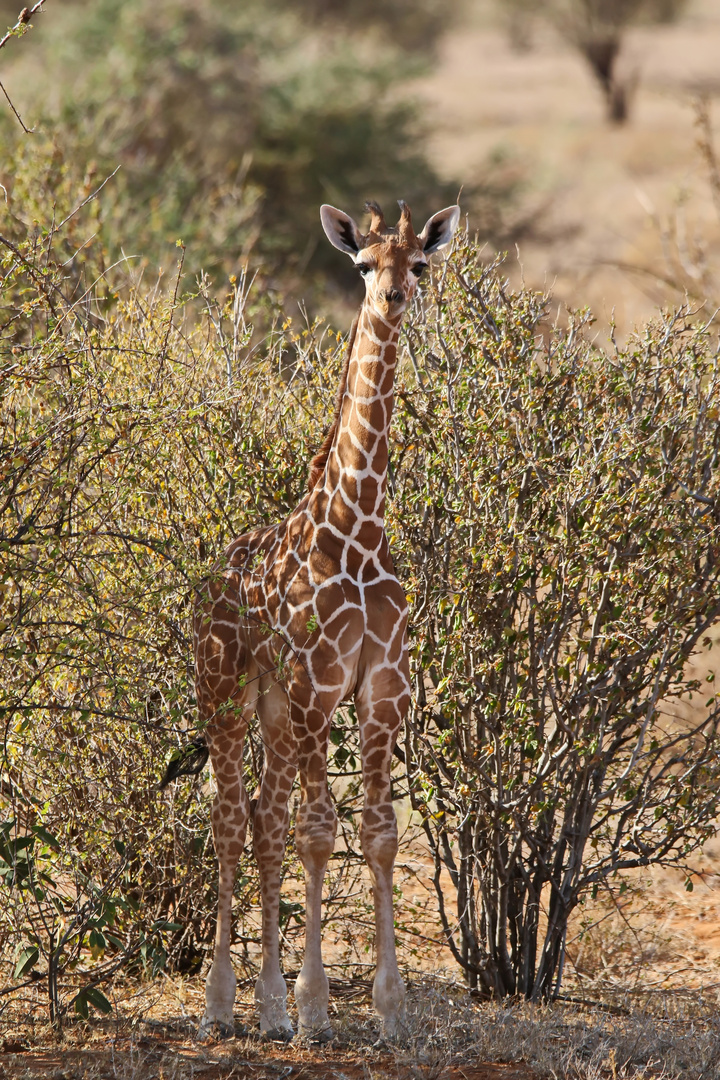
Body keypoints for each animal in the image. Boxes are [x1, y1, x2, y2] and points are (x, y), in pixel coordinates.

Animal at [193, 198, 462, 1041]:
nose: (394, 298)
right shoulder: (318, 684)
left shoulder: (381, 687)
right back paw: (222, 1008)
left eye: (420, 263)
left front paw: (392, 1012)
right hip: (225, 691)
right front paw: (317, 1010)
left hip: (277, 711)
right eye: (363, 264)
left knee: (264, 819)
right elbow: (320, 833)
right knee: (231, 820)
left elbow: (377, 833)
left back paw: (268, 1008)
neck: (359, 523)